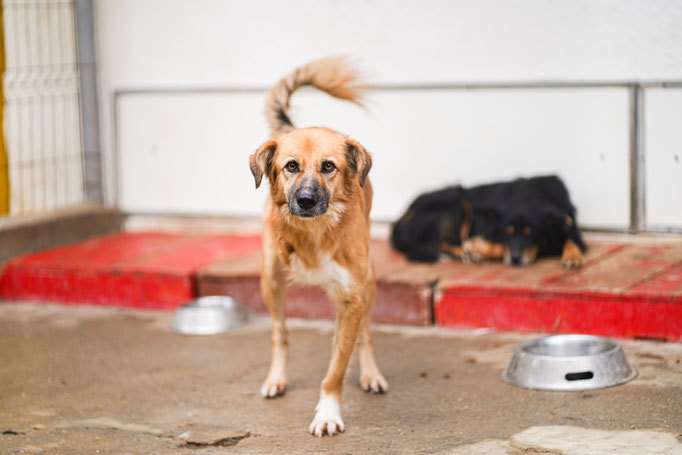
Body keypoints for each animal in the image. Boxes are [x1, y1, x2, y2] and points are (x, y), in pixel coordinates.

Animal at [249, 57, 387, 437]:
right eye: (291, 166)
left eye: (328, 166)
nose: (307, 201)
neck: (315, 233)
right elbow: (285, 335)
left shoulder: (352, 299)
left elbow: (336, 367)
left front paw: (327, 412)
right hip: (270, 279)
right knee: (280, 332)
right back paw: (276, 378)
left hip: (369, 282)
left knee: (366, 333)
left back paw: (371, 373)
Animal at [391, 176, 586, 268]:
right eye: (506, 232)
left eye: (532, 234)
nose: (515, 259)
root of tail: (399, 220)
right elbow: (498, 246)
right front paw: (478, 248)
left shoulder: (573, 230)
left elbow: (570, 241)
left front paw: (572, 256)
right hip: (458, 202)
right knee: (438, 242)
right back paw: (467, 252)